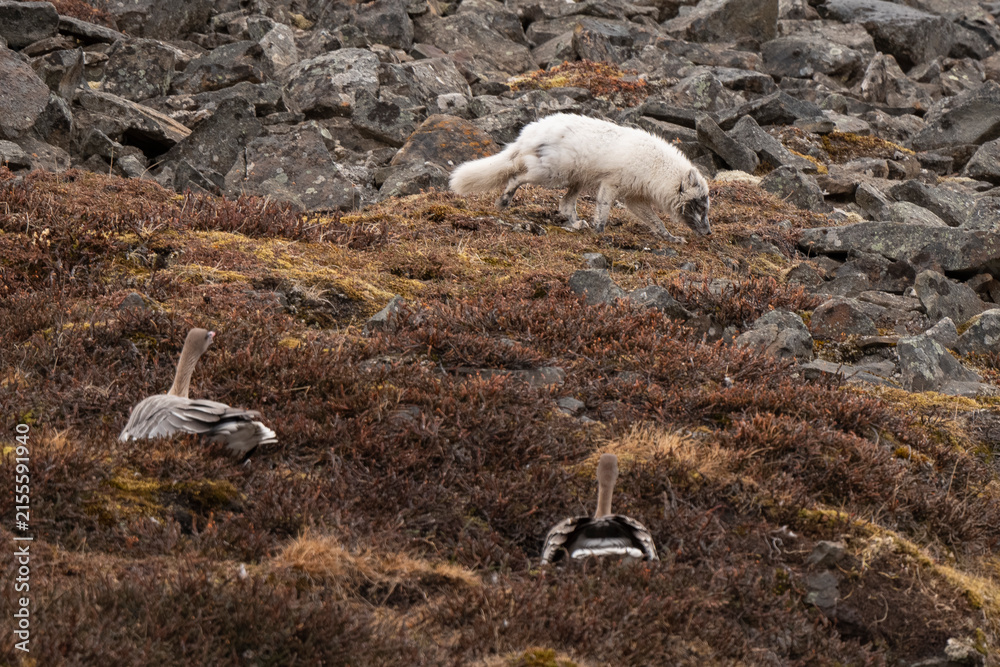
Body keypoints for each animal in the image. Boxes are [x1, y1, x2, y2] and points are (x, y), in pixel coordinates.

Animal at [449, 113, 711, 243]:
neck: (656, 168)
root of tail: (527, 135)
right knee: (516, 177)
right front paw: (600, 231)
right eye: (699, 206)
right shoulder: (612, 182)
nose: (709, 232)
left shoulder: (634, 197)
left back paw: (576, 224)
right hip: (553, 173)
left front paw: (671, 237)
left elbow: (656, 222)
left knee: (565, 204)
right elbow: (603, 208)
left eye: (706, 207)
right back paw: (505, 200)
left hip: (576, 180)